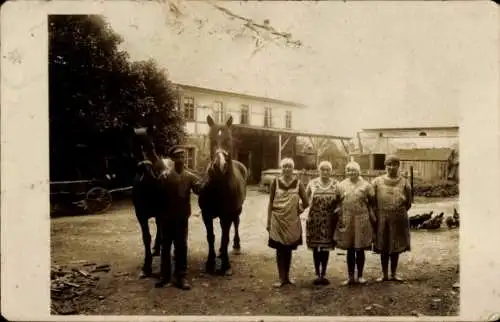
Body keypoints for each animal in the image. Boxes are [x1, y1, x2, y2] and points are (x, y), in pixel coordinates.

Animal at [197, 114, 248, 276]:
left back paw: (236, 246)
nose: (220, 165)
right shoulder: (206, 214)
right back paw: (220, 251)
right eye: (211, 139)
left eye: (228, 139)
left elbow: (225, 236)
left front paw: (226, 265)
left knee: (236, 224)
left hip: (237, 210)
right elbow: (211, 237)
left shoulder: (228, 214)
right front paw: (210, 263)